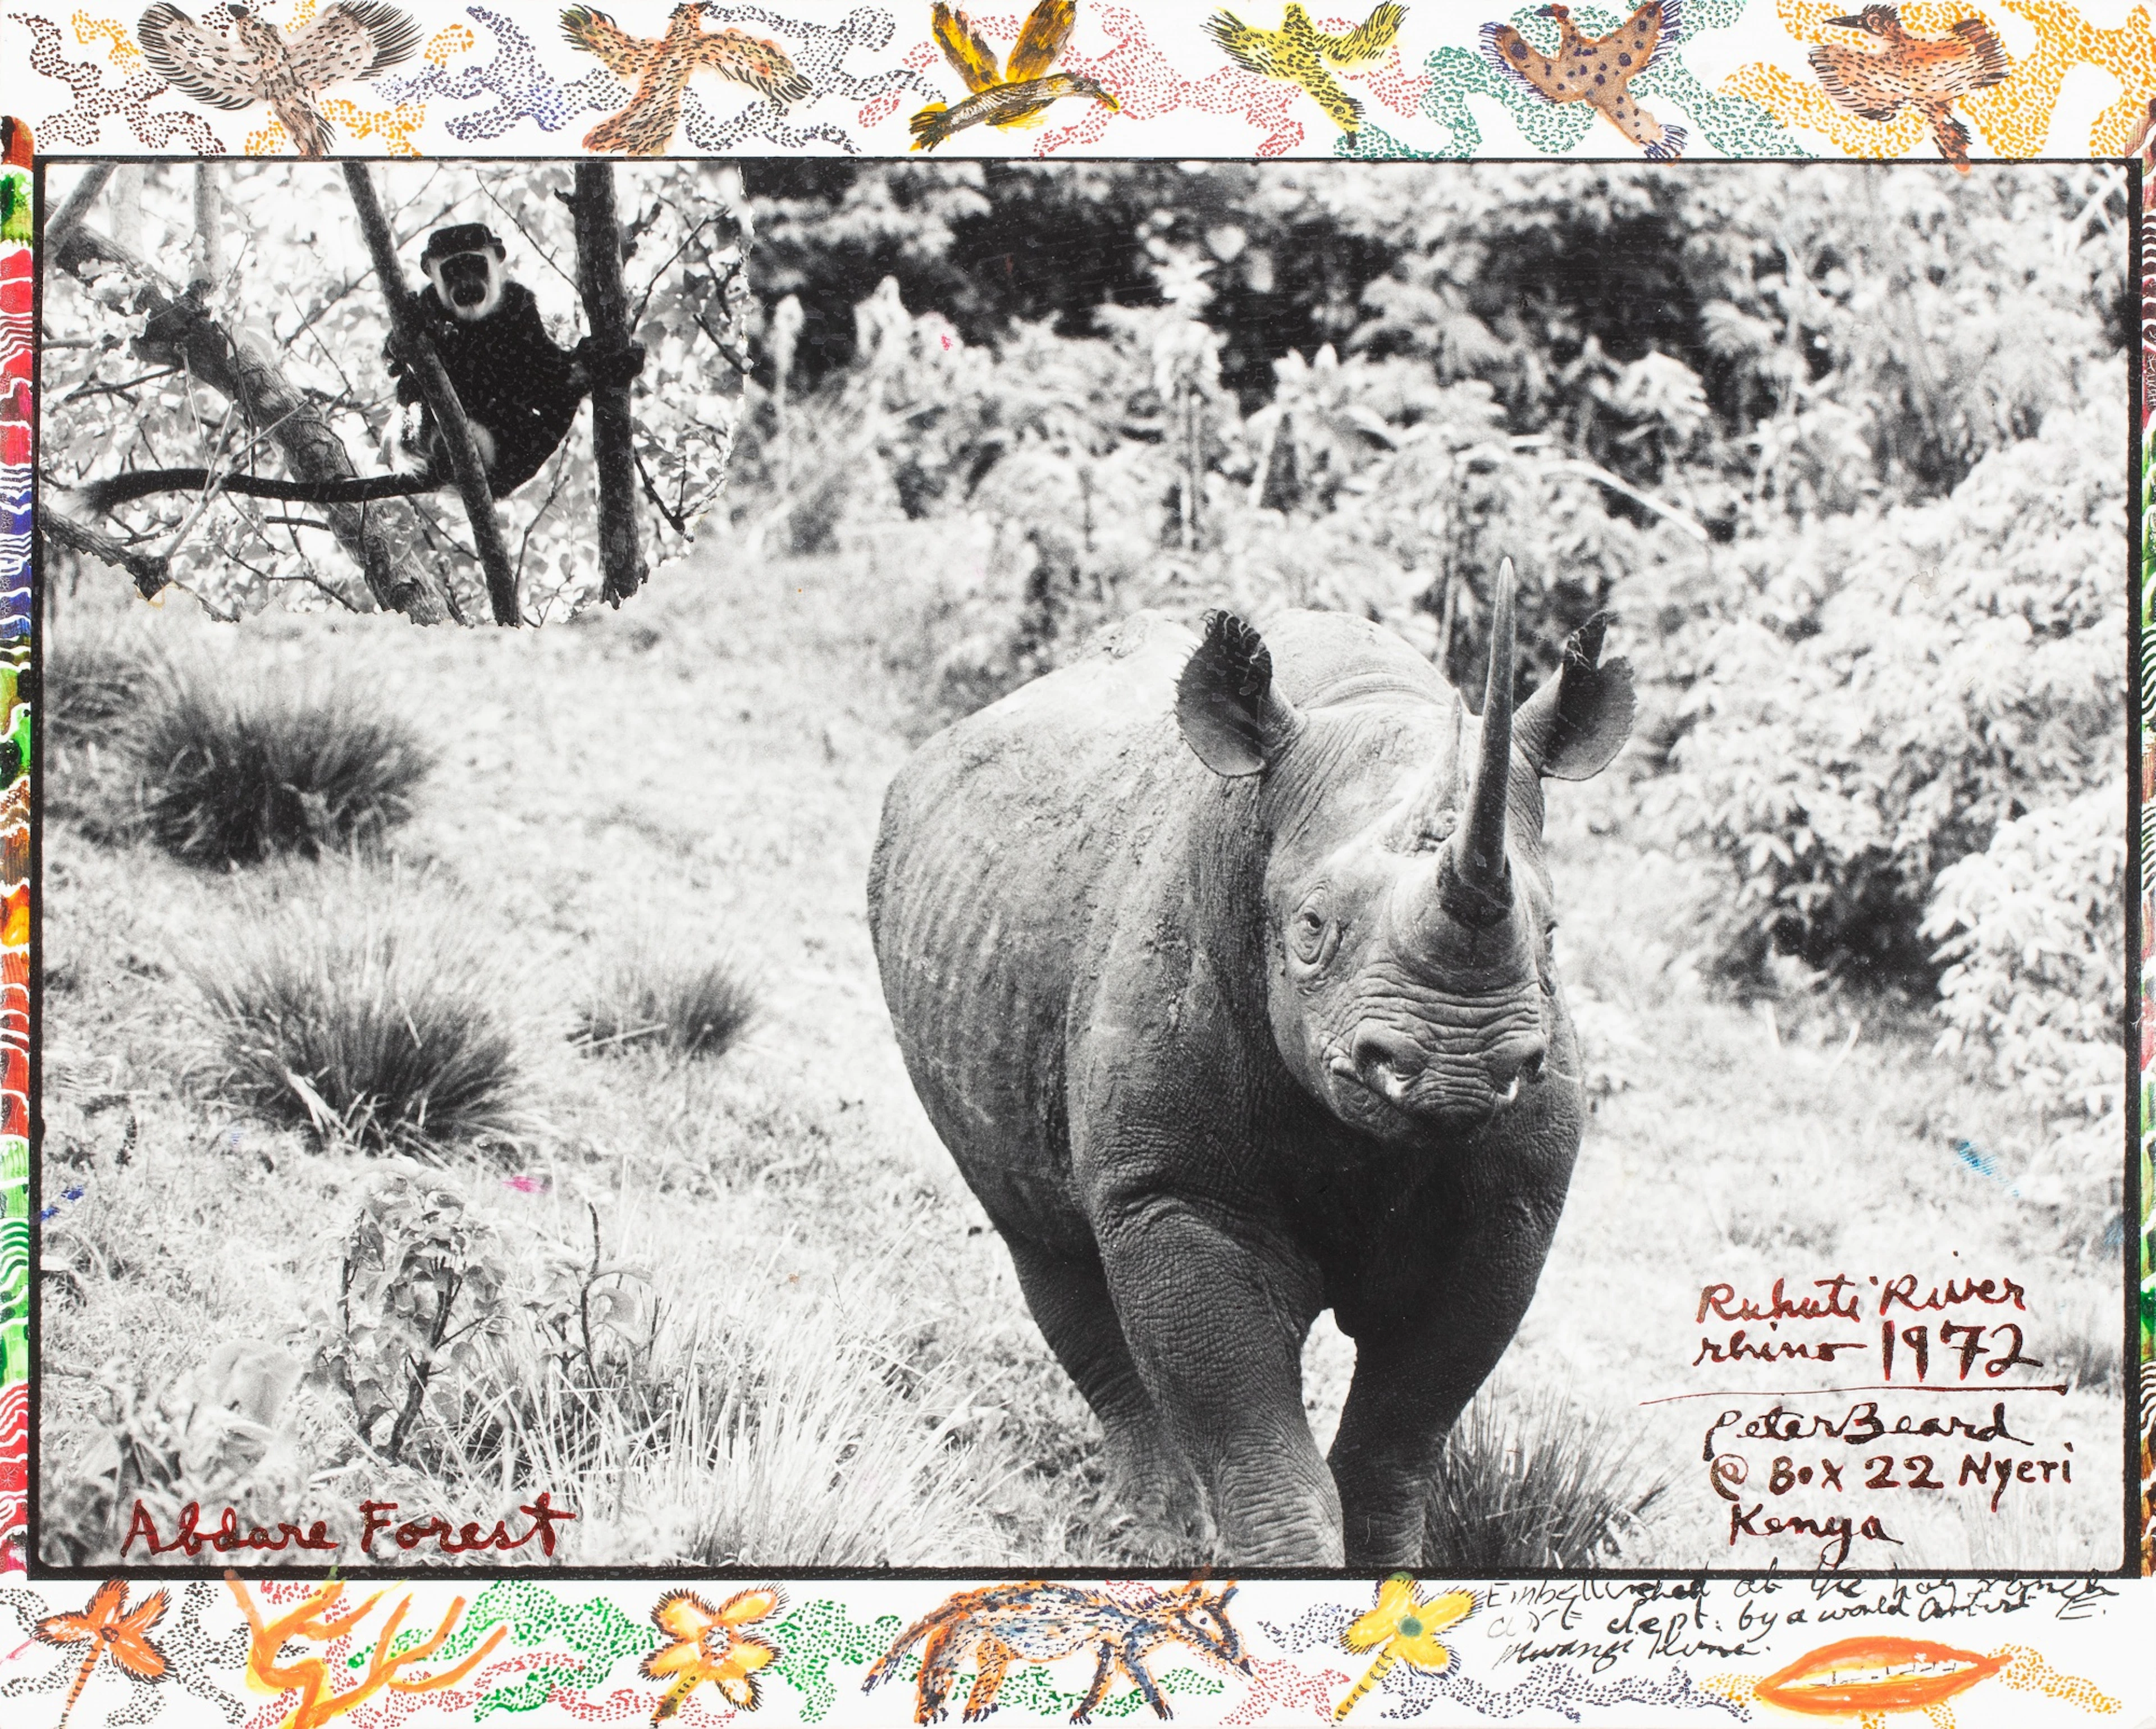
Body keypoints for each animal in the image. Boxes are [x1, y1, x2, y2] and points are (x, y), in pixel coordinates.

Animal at [867, 563, 1634, 1566]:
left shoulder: (1510, 1210)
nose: (1457, 1067)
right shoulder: (1171, 1192)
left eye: (1550, 935)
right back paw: (1151, 1535)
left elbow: (1400, 1436)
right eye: (1310, 929)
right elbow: (1257, 1443)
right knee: (1046, 1247)